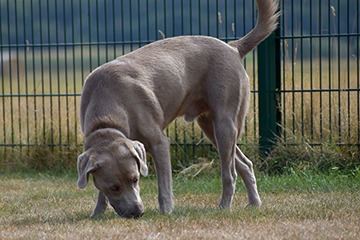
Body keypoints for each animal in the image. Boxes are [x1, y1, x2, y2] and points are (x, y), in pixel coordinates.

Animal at [78, 0, 282, 218]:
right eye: (114, 187)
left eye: (135, 179)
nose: (138, 212)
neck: (107, 118)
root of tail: (232, 47)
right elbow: (101, 192)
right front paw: (97, 213)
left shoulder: (159, 143)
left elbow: (164, 185)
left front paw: (166, 211)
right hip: (209, 125)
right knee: (245, 164)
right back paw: (254, 203)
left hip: (225, 122)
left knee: (230, 173)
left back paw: (224, 206)